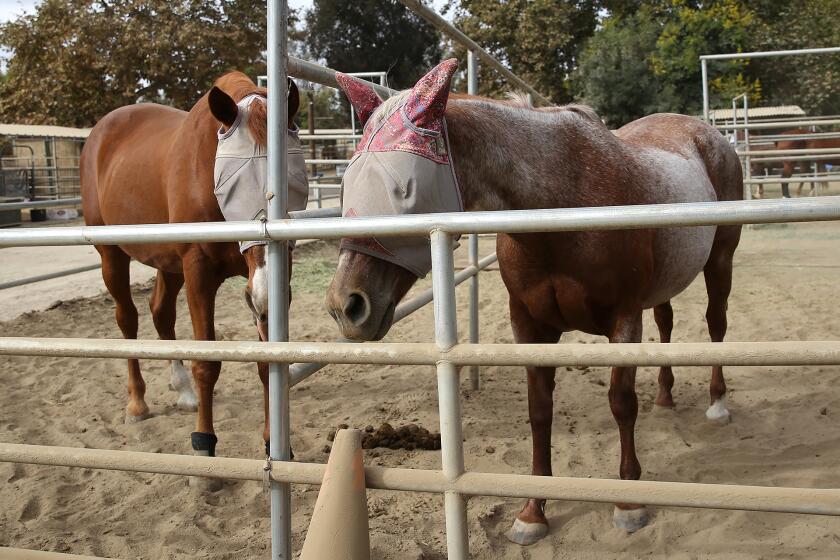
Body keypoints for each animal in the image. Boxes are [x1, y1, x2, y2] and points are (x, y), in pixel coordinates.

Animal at [81, 72, 306, 470]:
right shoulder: (198, 273)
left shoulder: (264, 284)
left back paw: (183, 390)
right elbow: (208, 364)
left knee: (161, 313)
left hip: (168, 264)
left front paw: (273, 444)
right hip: (112, 256)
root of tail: (101, 132)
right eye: (234, 186)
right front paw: (204, 443)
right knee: (128, 320)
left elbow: (267, 364)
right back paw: (137, 403)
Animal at [324, 60, 744, 544]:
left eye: (403, 189)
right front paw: (532, 512)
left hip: (720, 261)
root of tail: (706, 134)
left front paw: (629, 504)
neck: (563, 203)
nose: (346, 305)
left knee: (716, 324)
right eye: (346, 185)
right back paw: (665, 396)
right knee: (667, 323)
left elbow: (621, 404)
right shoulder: (529, 326)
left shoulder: (624, 321)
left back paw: (717, 404)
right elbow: (539, 411)